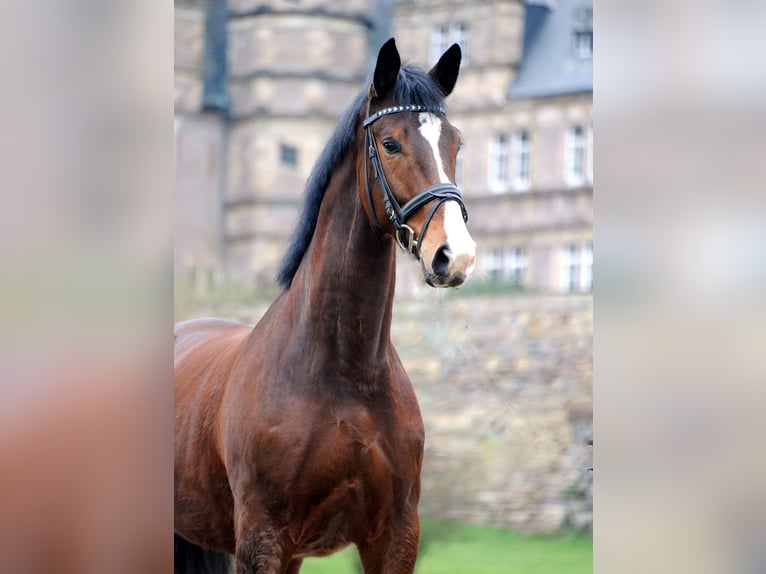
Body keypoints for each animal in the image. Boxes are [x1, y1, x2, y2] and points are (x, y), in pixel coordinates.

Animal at [176, 38, 474, 572]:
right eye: (390, 143)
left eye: (455, 143)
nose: (454, 255)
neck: (344, 371)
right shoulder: (262, 540)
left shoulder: (395, 537)